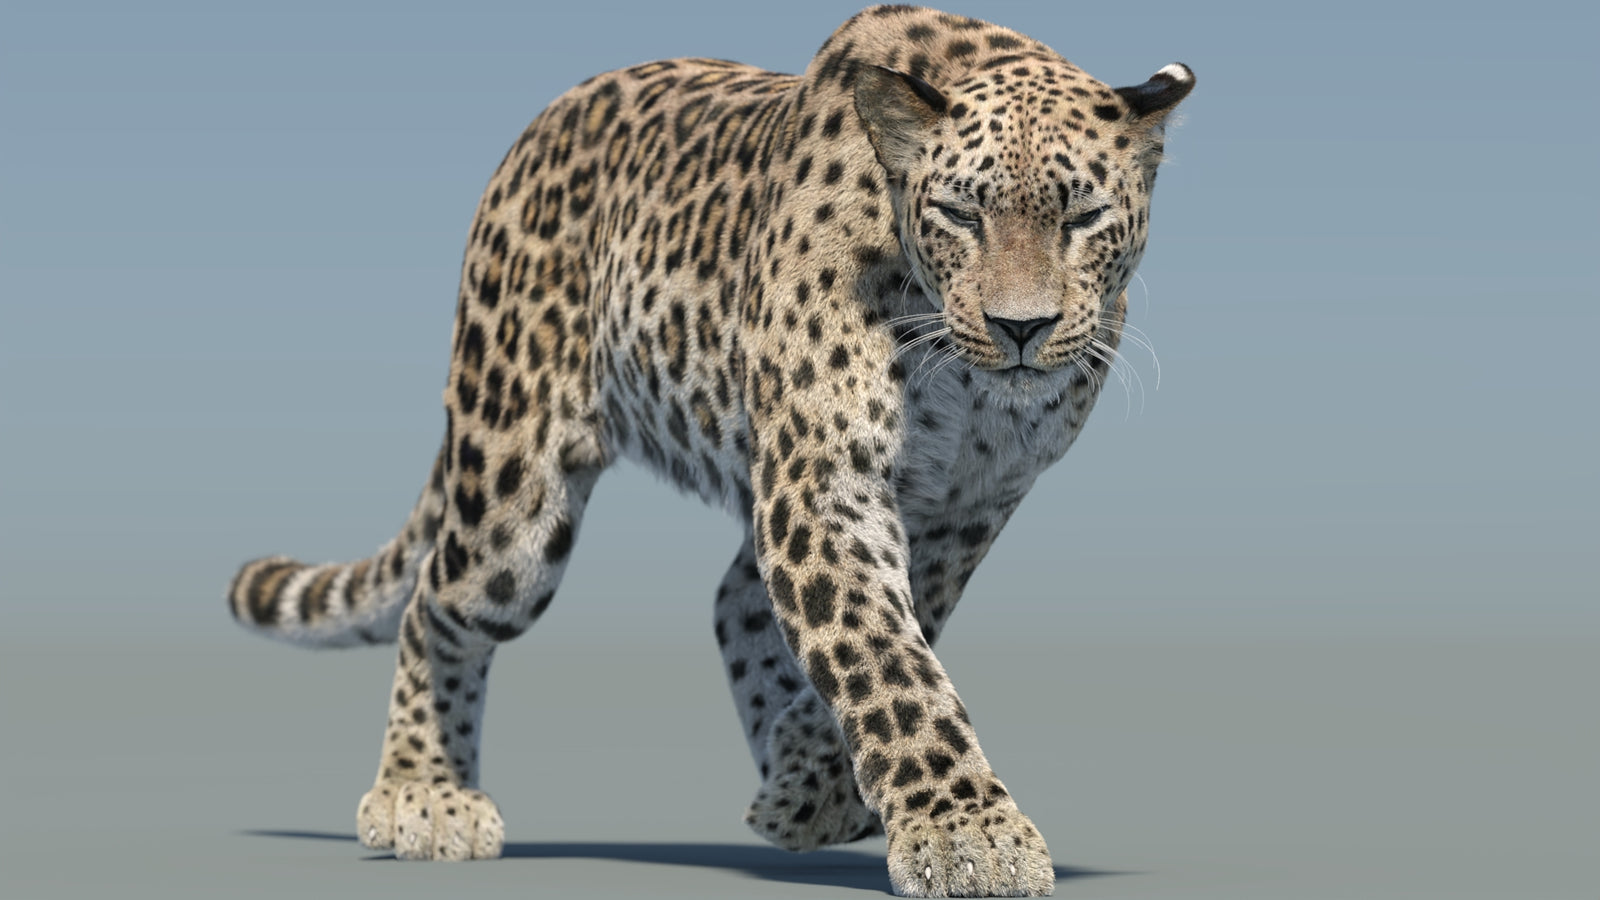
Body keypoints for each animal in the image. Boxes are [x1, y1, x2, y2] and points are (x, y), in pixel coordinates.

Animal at [226, 6, 1193, 897]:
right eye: (961, 214)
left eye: (1084, 218)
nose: (1020, 328)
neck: (964, 379)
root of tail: (537, 128)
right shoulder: (824, 484)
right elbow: (886, 659)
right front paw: (968, 835)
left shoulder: (963, 508)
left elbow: (889, 634)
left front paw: (827, 777)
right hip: (513, 495)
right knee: (438, 599)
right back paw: (423, 795)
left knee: (734, 599)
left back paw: (797, 783)